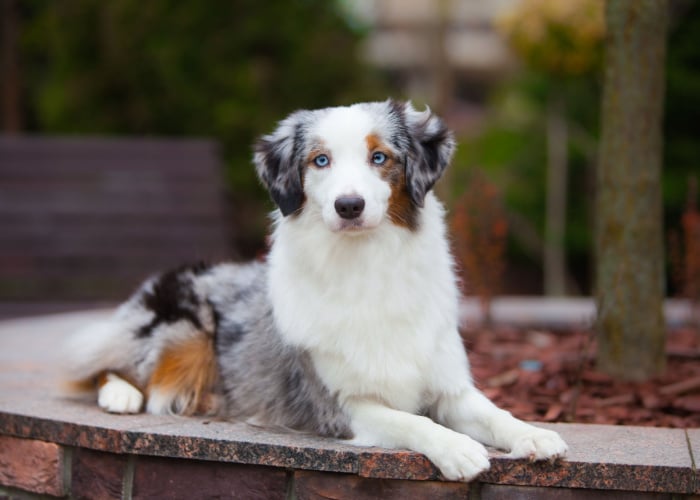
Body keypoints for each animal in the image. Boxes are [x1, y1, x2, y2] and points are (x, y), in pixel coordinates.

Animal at [64, 98, 568, 480]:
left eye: (379, 157)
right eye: (320, 161)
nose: (349, 205)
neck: (366, 263)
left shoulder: (448, 385)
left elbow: (493, 412)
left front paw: (534, 433)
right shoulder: (340, 404)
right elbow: (410, 419)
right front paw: (457, 448)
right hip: (183, 331)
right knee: (104, 363)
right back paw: (121, 394)